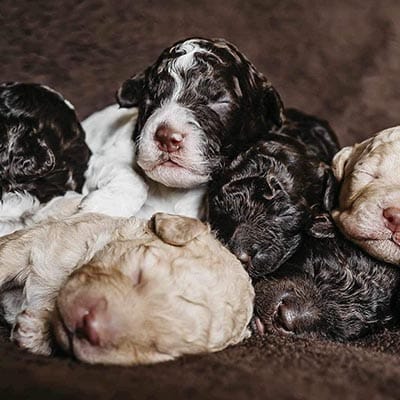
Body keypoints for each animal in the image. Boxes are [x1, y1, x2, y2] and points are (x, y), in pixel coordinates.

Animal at [0, 212, 253, 366]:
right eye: (139, 272)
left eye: (158, 349)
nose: (88, 326)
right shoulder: (38, 240)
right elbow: (7, 258)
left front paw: (36, 330)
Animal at [79, 35, 284, 219]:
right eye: (152, 95)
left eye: (220, 101)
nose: (166, 137)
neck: (174, 191)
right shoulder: (104, 157)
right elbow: (132, 177)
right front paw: (103, 205)